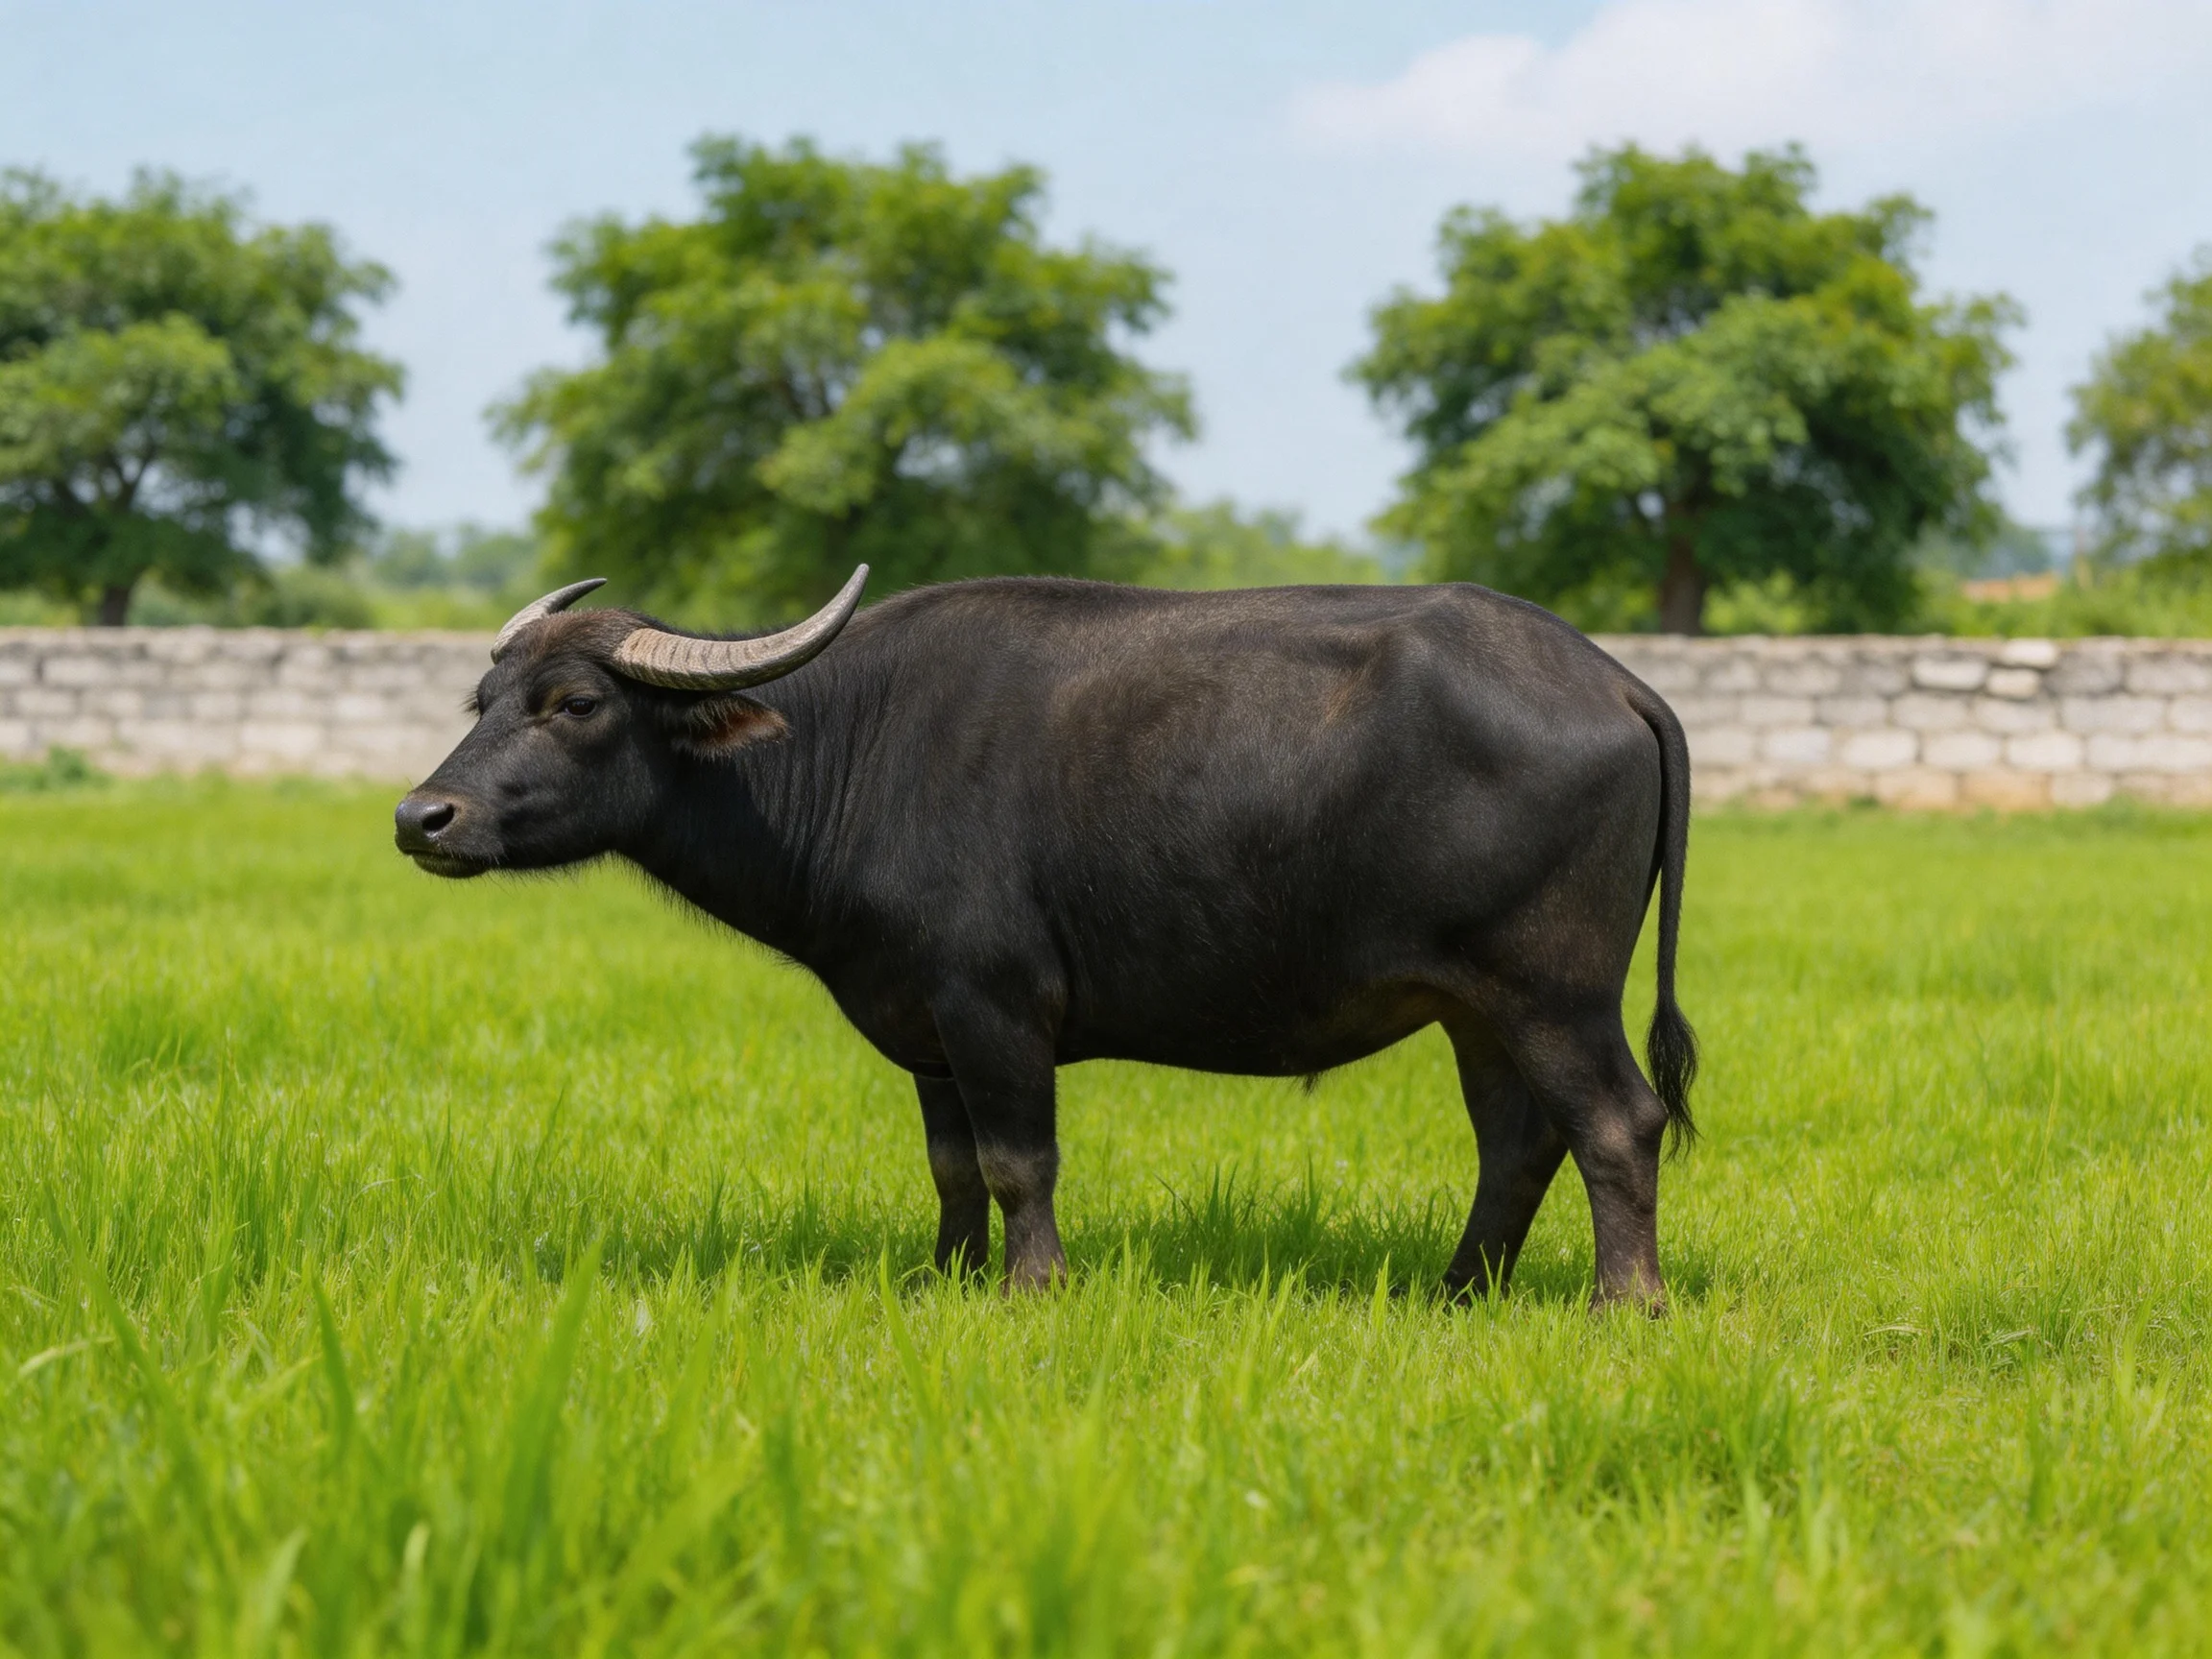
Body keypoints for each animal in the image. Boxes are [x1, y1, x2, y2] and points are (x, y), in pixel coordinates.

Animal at [395, 569, 1697, 1306]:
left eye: (576, 705)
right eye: (483, 702)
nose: (422, 818)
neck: (849, 754)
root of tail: (1614, 682)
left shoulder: (995, 1007)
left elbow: (1022, 1159)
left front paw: (1033, 1288)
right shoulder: (926, 1026)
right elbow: (954, 1164)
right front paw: (947, 1281)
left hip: (1553, 990)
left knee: (1616, 1125)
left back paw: (1624, 1303)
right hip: (1476, 1008)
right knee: (1519, 1142)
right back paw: (1459, 1292)